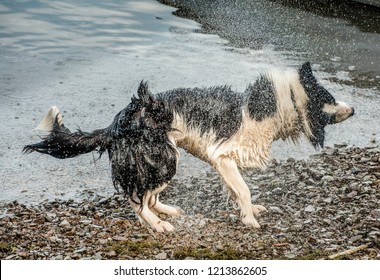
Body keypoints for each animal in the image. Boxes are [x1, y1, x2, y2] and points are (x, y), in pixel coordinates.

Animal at [23, 63, 354, 232]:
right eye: (329, 98)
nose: (353, 110)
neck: (278, 106)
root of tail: (117, 123)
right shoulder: (223, 156)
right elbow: (244, 189)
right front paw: (249, 218)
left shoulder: (223, 163)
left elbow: (237, 190)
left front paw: (247, 210)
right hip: (163, 156)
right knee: (136, 200)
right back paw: (158, 225)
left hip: (163, 159)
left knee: (149, 196)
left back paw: (167, 211)